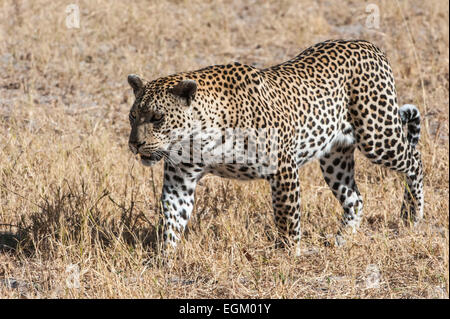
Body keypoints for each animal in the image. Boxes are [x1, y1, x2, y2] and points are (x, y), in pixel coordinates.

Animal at [127, 39, 426, 255]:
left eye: (157, 118)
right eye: (132, 116)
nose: (134, 144)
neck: (199, 137)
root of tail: (369, 45)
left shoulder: (282, 168)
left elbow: (286, 216)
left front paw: (288, 254)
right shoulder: (180, 179)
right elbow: (172, 218)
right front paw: (164, 259)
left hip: (377, 135)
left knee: (415, 160)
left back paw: (411, 216)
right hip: (334, 157)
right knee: (354, 197)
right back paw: (344, 238)